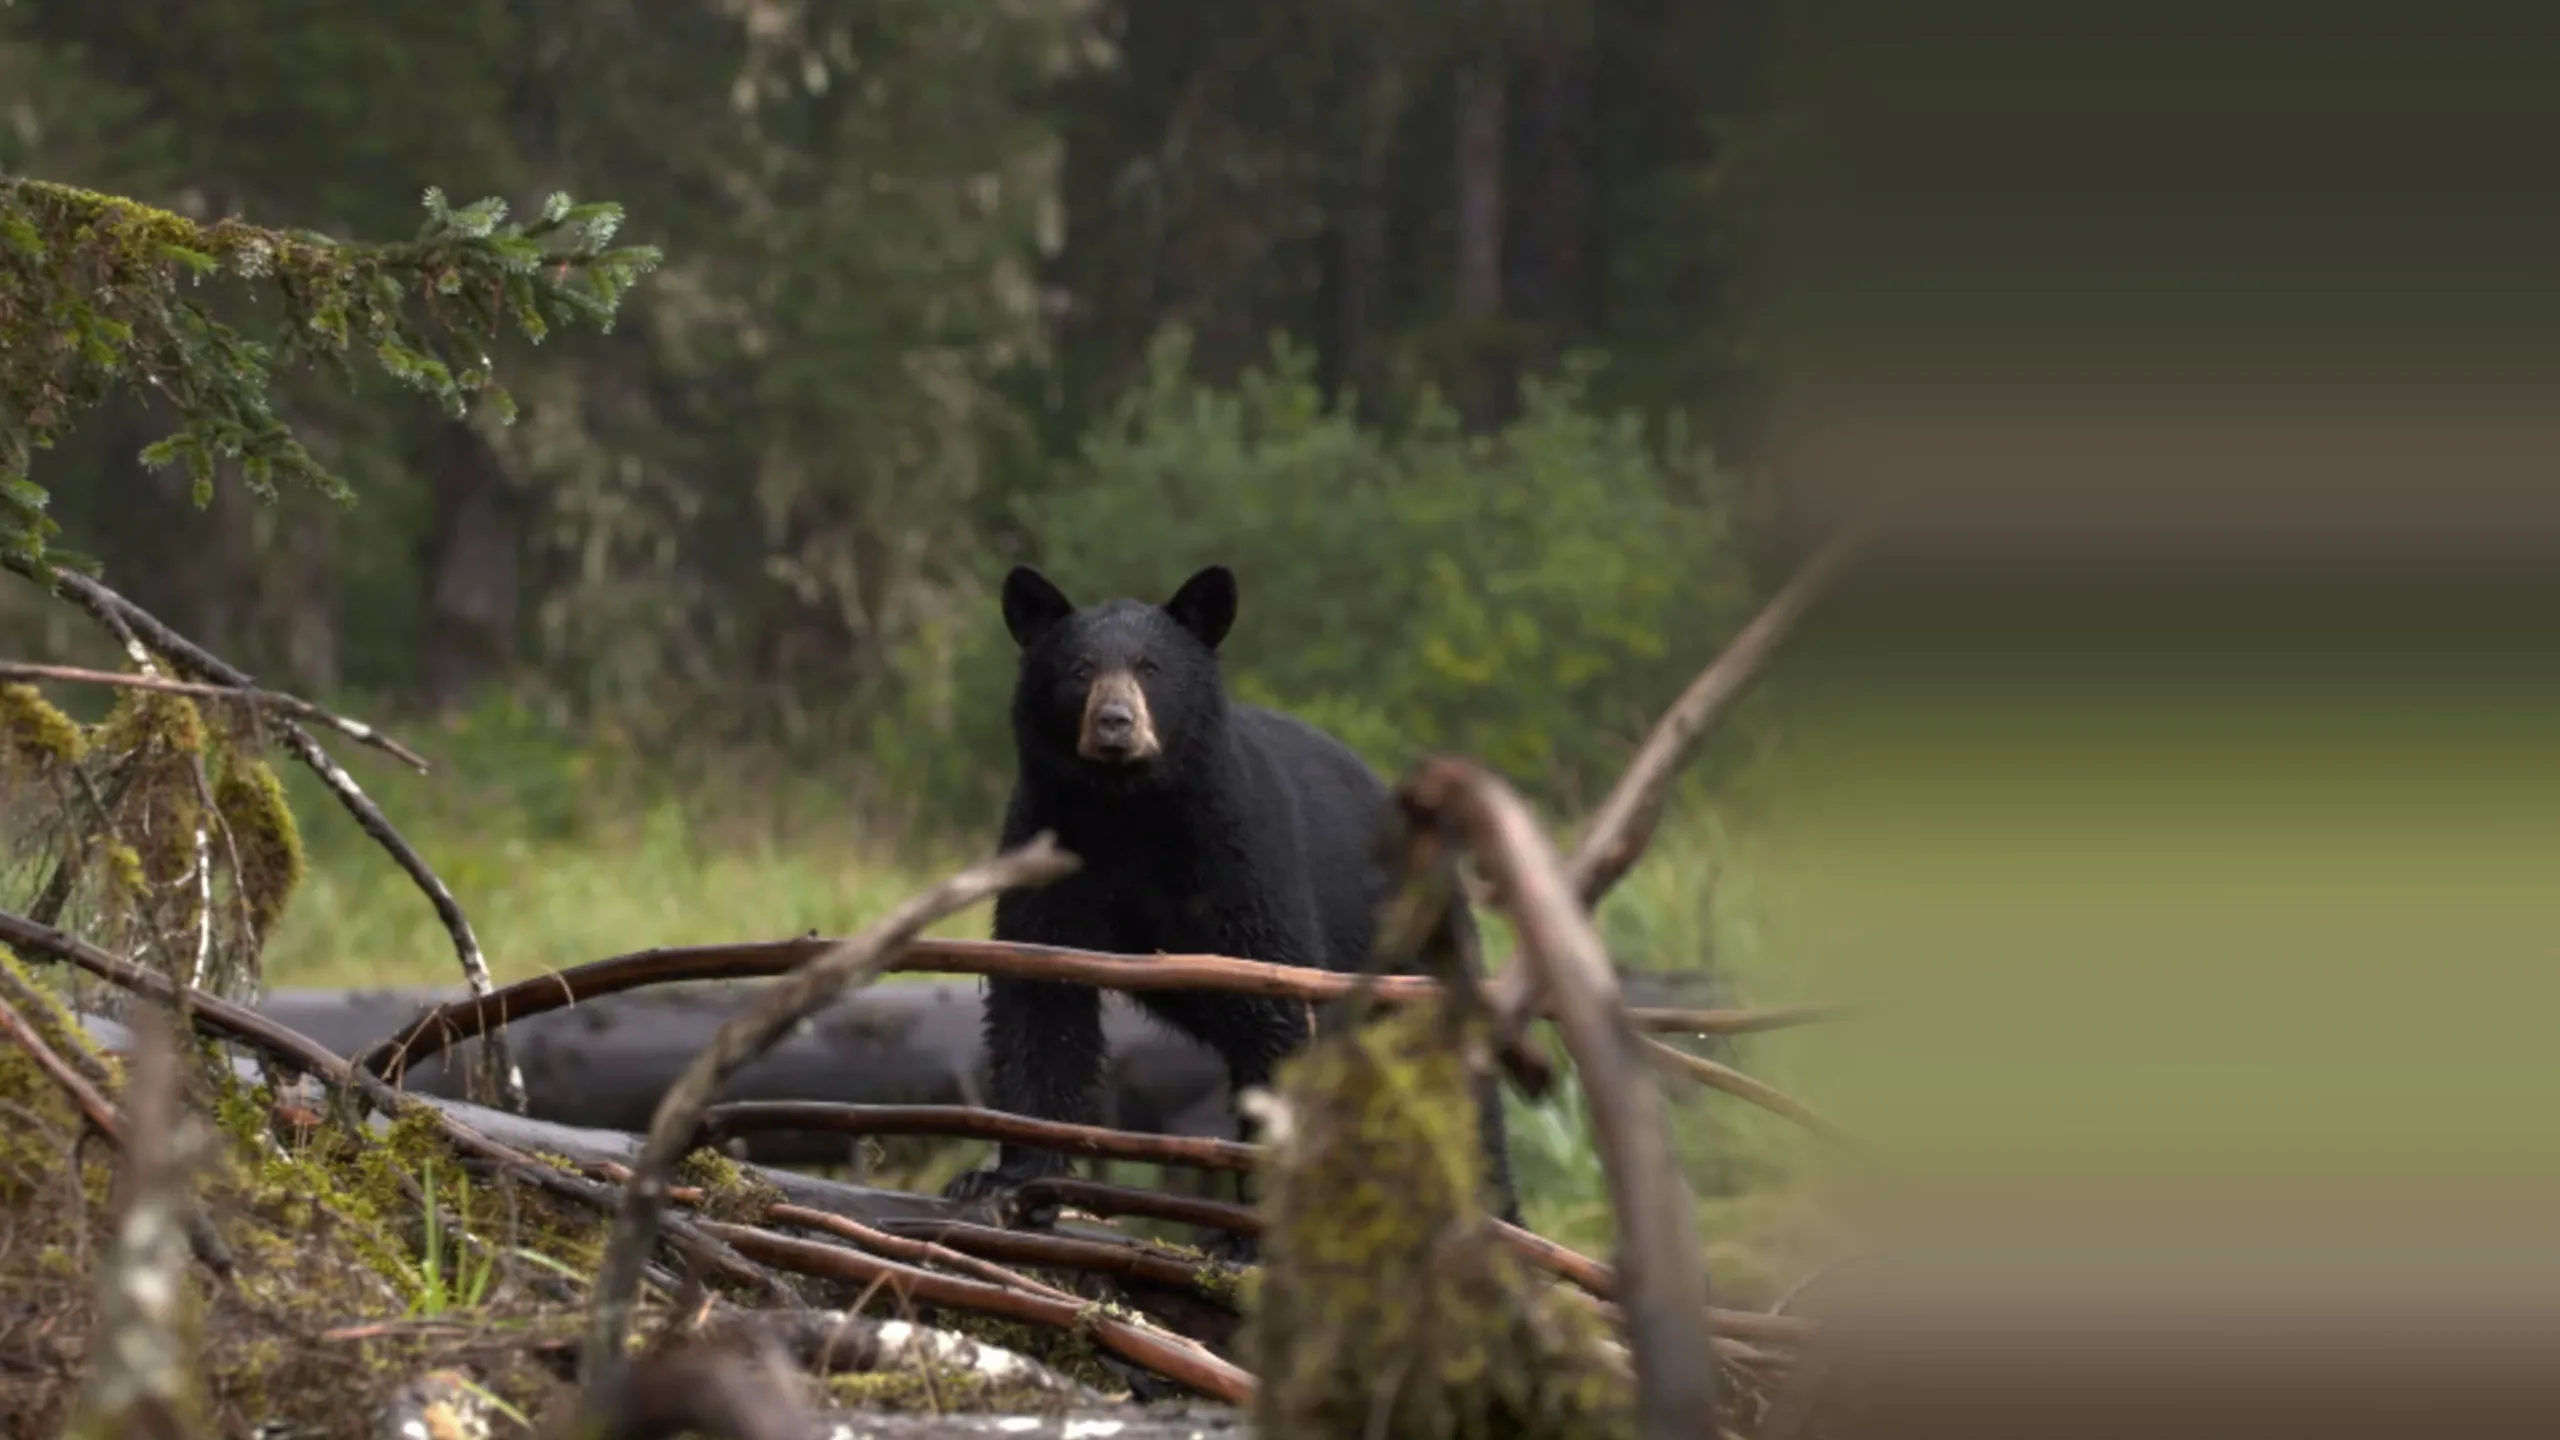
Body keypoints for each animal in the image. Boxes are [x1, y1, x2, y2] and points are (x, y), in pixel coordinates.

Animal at [942, 562, 1520, 1243]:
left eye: (1151, 667)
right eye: (1079, 668)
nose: (1114, 723)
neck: (1127, 809)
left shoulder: (1239, 853)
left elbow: (1274, 1007)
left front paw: (1253, 1226)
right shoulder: (1049, 838)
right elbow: (1040, 997)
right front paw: (1001, 1180)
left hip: (1410, 953)